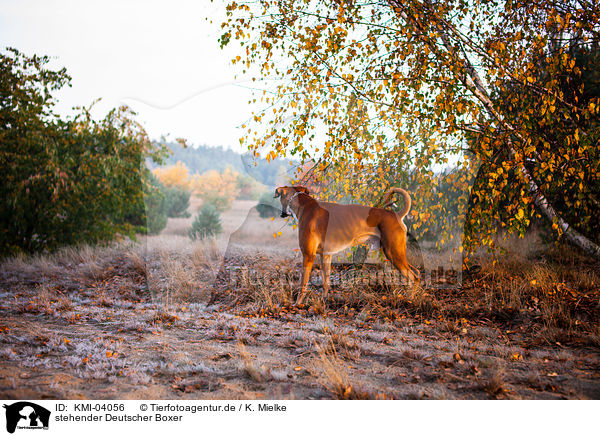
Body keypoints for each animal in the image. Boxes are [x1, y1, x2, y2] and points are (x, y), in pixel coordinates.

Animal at [276, 186, 420, 304]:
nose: (282, 214)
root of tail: (397, 215)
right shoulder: (326, 256)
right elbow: (326, 282)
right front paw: (324, 300)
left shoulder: (308, 255)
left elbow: (303, 283)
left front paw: (298, 303)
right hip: (397, 254)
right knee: (416, 273)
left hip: (393, 253)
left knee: (414, 277)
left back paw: (411, 299)